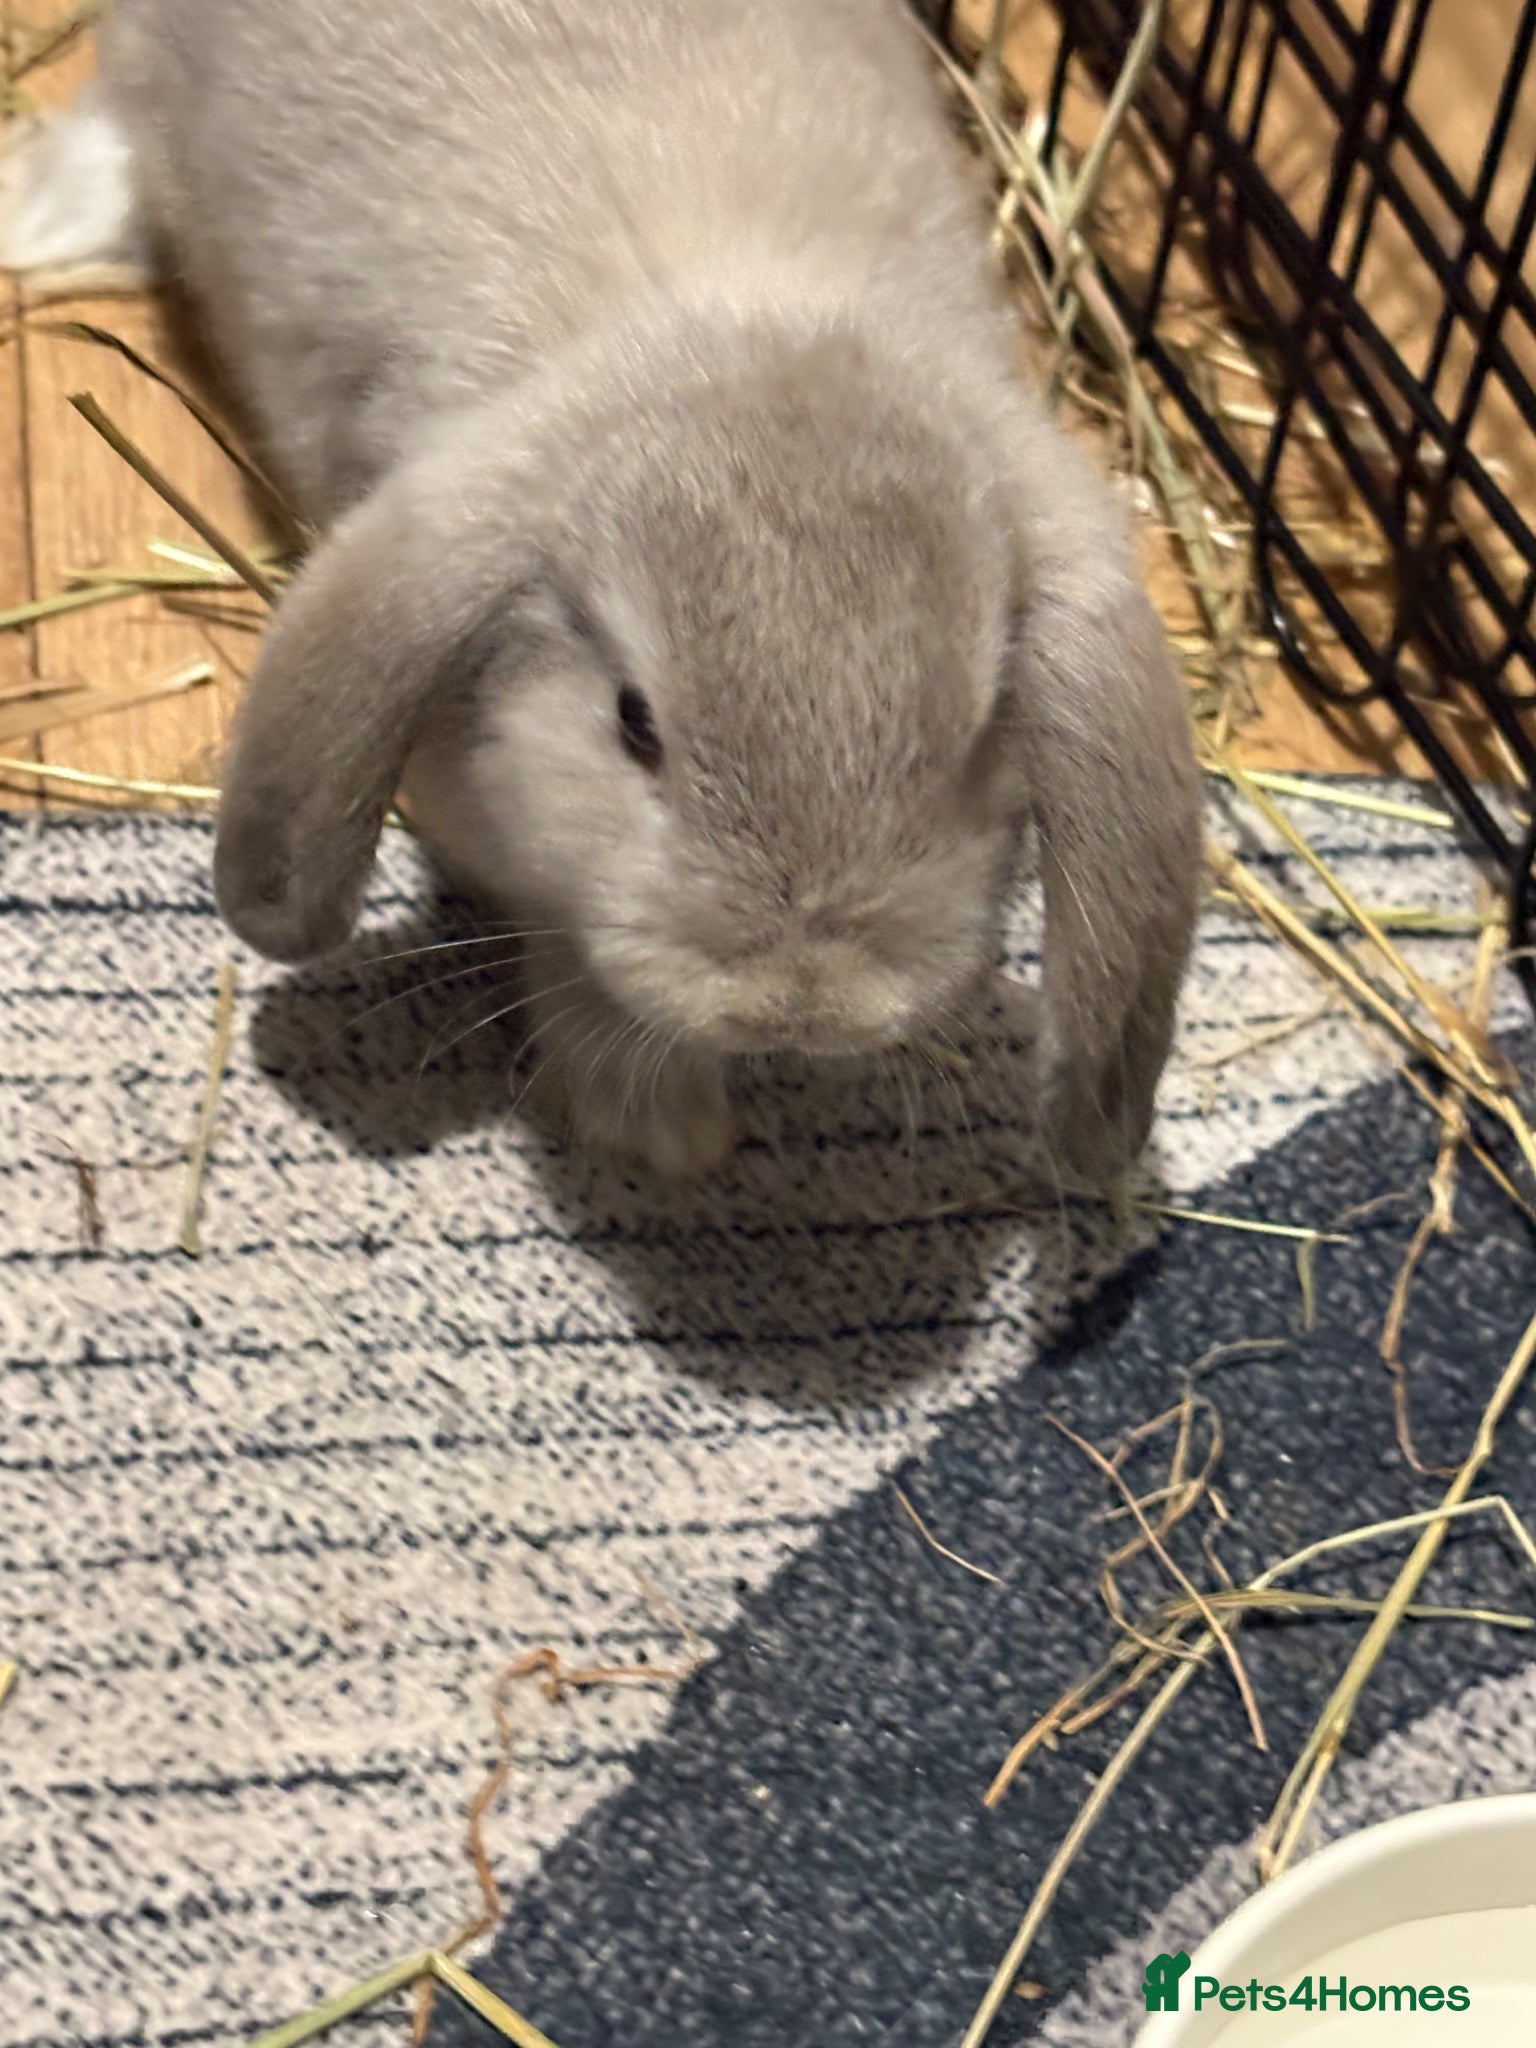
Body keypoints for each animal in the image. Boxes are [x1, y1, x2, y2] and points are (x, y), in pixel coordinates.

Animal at [0, 0, 1202, 1180]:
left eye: (981, 736)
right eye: (633, 723)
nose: (799, 1003)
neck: (759, 313)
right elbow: (567, 952)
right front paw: (659, 1124)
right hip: (154, 57)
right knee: (119, 127)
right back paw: (37, 219)